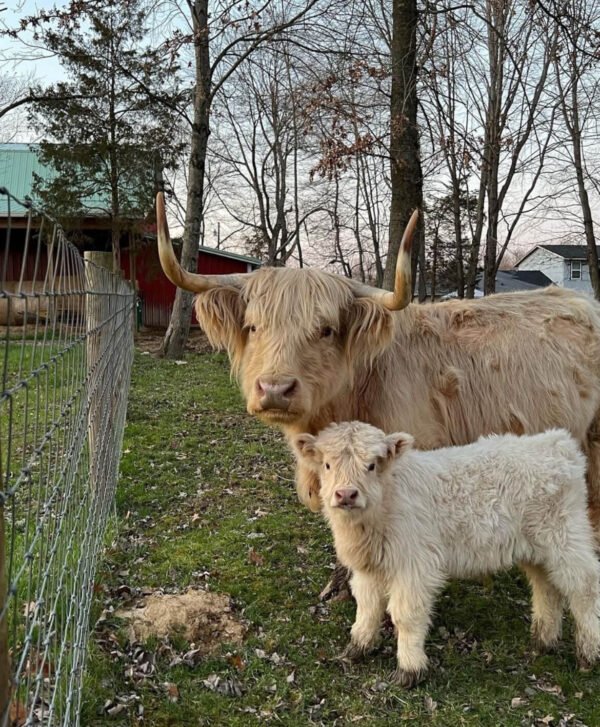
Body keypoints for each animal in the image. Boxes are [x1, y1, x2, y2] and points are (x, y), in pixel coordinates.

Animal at [292, 424, 600, 684]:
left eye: (371, 465)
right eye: (327, 464)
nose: (346, 494)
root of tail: (556, 443)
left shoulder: (415, 565)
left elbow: (405, 615)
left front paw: (410, 670)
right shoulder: (368, 568)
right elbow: (367, 606)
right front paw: (357, 648)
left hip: (566, 538)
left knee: (584, 588)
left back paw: (588, 654)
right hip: (537, 549)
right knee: (546, 587)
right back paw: (543, 641)